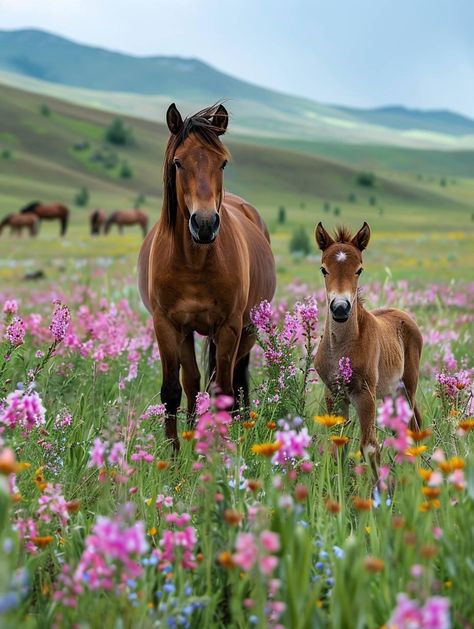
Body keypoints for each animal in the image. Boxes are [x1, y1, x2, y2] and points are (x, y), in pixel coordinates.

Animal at [137, 103, 276, 448]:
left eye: (222, 162)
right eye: (178, 162)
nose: (204, 223)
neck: (194, 261)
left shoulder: (229, 326)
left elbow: (223, 392)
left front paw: (219, 451)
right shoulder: (166, 325)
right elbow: (173, 391)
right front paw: (174, 454)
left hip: (247, 328)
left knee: (234, 382)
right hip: (187, 332)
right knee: (193, 382)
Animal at [314, 222, 422, 466]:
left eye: (359, 269)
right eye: (324, 269)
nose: (340, 308)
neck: (340, 348)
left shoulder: (365, 395)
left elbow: (370, 447)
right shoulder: (332, 394)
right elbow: (338, 446)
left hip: (407, 388)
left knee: (413, 430)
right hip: (391, 395)